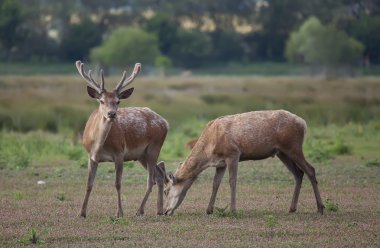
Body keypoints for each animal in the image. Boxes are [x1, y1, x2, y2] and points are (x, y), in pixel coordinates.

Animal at [75, 61, 168, 217]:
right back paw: (159, 210)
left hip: (155, 147)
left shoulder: (119, 153)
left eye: (118, 101)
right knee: (159, 174)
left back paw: (140, 210)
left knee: (151, 180)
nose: (111, 114)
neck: (98, 146)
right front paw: (82, 212)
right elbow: (89, 184)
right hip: (141, 155)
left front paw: (119, 212)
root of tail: (165, 122)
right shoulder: (91, 157)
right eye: (101, 101)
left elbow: (117, 184)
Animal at [163, 110, 324, 215]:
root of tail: (304, 123)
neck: (210, 150)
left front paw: (233, 210)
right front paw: (209, 210)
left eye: (166, 190)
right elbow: (215, 183)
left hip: (293, 147)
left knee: (310, 169)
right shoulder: (220, 163)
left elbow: (232, 181)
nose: (164, 211)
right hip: (282, 152)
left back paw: (320, 208)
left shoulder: (233, 153)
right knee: (298, 173)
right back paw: (292, 208)